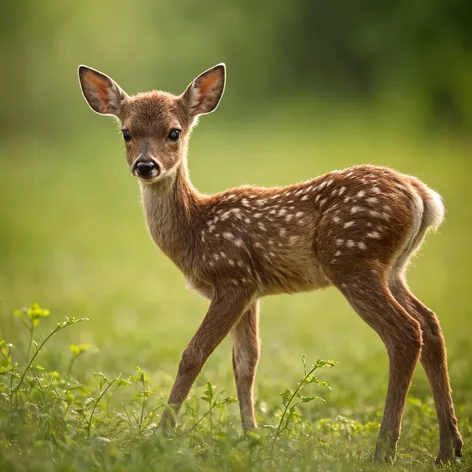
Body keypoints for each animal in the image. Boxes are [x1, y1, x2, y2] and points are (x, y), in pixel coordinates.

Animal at [79, 61, 462, 460]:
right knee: (430, 323)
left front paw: (160, 435)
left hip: (352, 259)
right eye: (126, 132)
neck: (195, 231)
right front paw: (251, 438)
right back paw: (449, 447)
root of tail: (422, 195)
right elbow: (246, 362)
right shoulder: (252, 291)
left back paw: (383, 451)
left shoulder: (232, 278)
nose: (145, 165)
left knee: (405, 333)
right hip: (393, 269)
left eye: (174, 132)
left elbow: (193, 354)